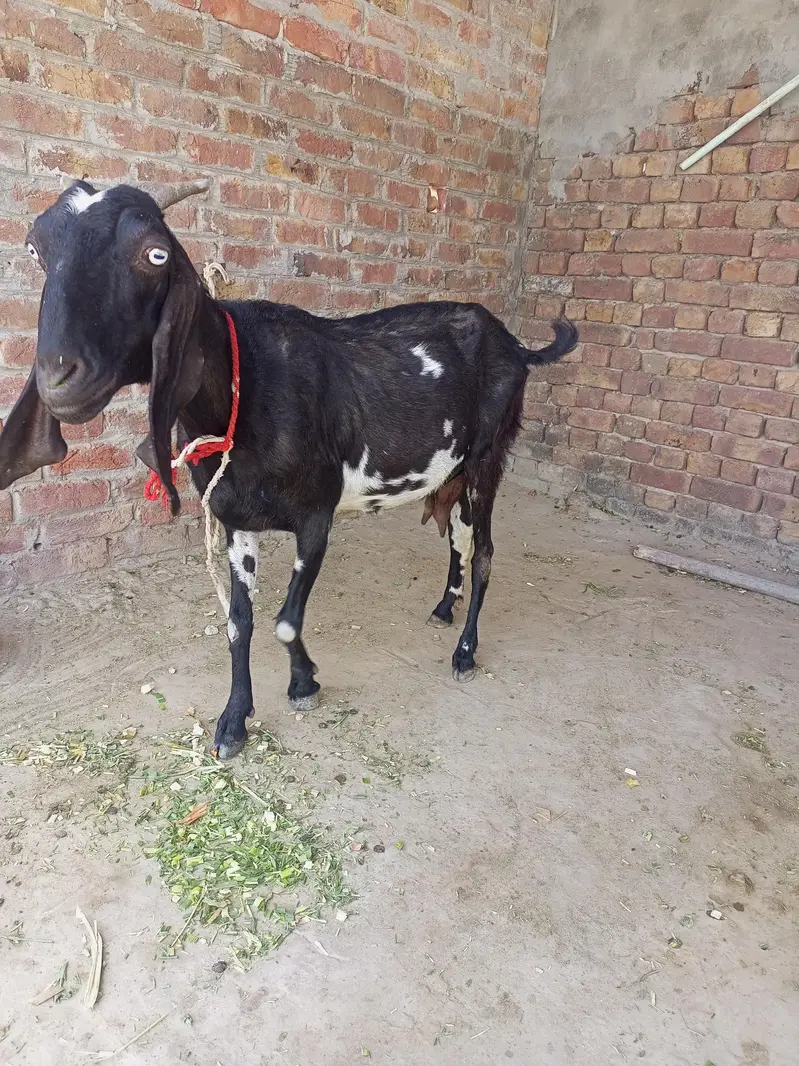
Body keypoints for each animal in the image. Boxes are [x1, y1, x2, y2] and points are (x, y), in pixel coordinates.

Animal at [0, 180, 578, 759]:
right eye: (35, 249)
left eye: (155, 254)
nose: (59, 379)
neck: (248, 386)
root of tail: (516, 345)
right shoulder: (236, 522)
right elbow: (240, 624)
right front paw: (234, 721)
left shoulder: (317, 515)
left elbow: (283, 621)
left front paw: (304, 683)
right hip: (452, 472)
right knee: (457, 537)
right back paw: (443, 608)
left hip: (486, 459)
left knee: (483, 552)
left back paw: (465, 651)